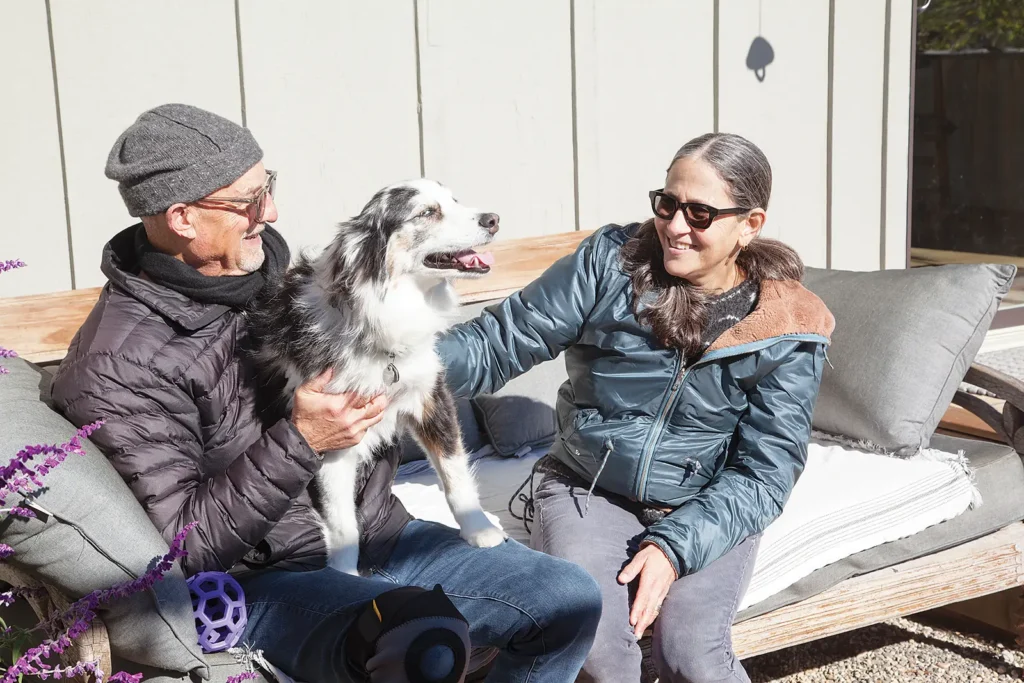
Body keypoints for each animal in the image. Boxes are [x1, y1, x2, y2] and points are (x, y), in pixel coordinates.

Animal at [247, 179, 503, 573]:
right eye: (427, 212)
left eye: (454, 200)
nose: (494, 219)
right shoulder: (331, 437)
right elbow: (342, 522)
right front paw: (345, 575)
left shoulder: (431, 396)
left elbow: (454, 472)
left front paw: (479, 529)